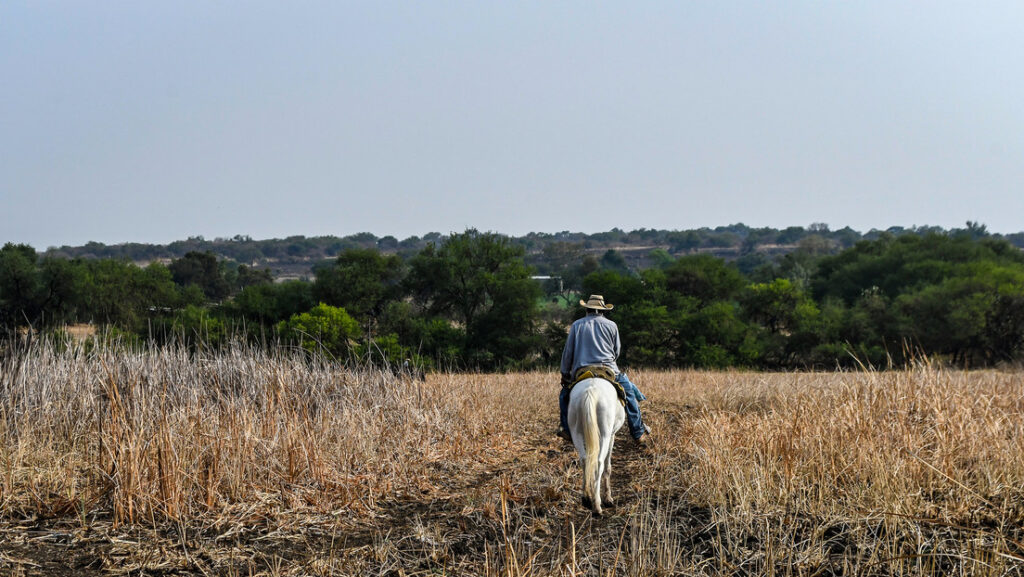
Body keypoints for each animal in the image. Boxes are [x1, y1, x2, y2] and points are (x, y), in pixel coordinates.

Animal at [569, 377, 622, 516]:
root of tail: (590, 390)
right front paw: (608, 498)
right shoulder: (612, 435)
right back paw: (597, 506)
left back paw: (586, 498)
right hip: (604, 434)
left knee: (584, 460)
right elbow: (607, 467)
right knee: (599, 463)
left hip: (576, 431)